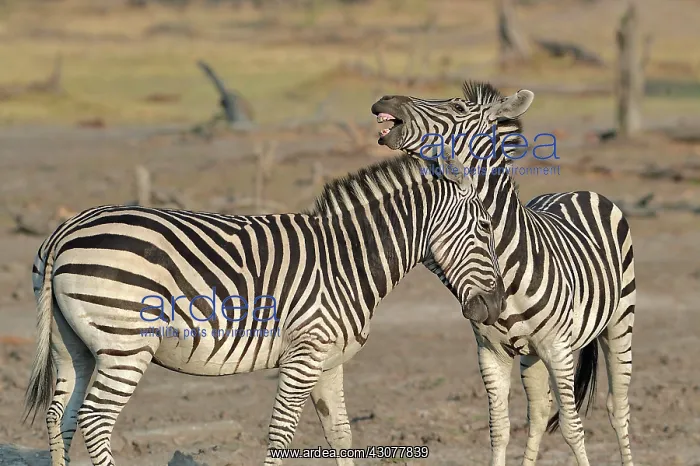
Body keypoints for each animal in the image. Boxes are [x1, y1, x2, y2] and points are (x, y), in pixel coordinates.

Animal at [24, 153, 506, 466]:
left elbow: (341, 434)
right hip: (126, 345)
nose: (498, 305)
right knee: (95, 420)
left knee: (61, 416)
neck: (346, 261)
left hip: (72, 345)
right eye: (485, 228)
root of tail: (67, 229)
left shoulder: (328, 362)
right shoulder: (305, 354)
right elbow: (281, 433)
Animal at [371, 82, 636, 466]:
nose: (384, 100)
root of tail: (576, 191)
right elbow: (500, 430)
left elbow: (572, 429)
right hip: (531, 354)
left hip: (619, 322)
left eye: (458, 107)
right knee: (539, 413)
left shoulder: (558, 349)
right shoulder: (491, 352)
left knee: (618, 408)